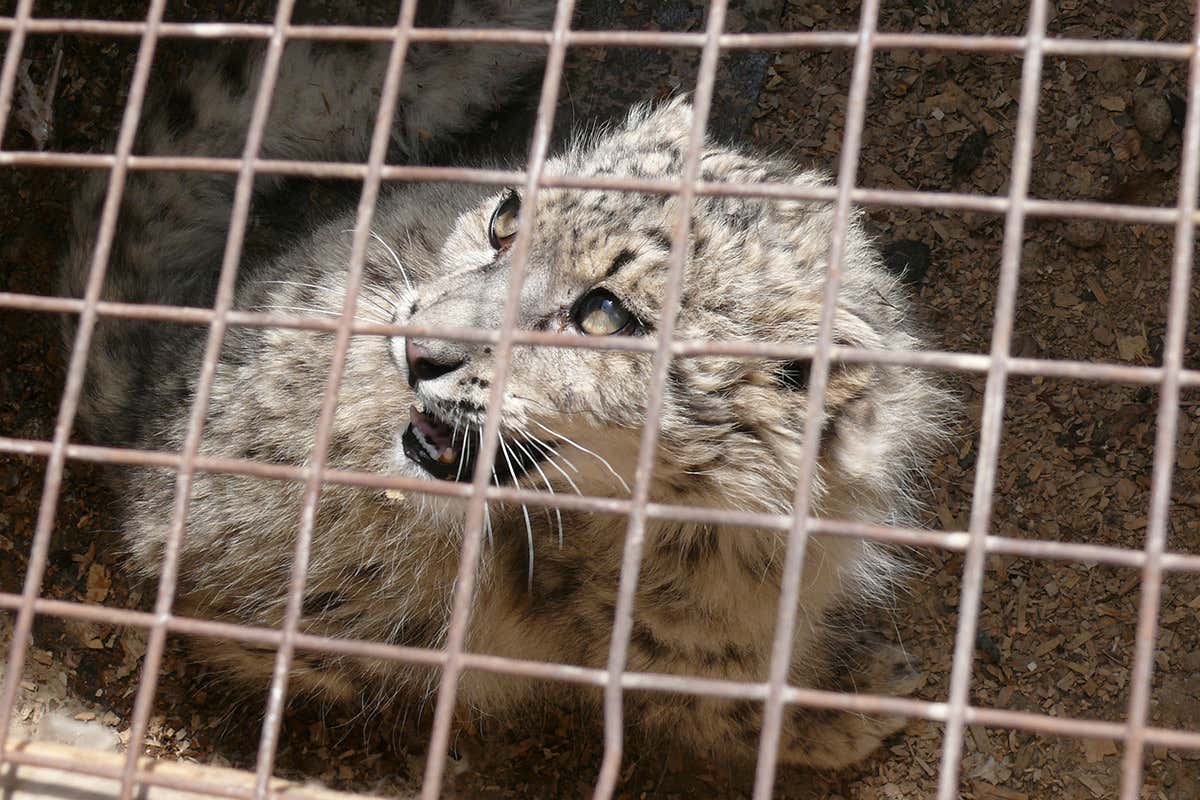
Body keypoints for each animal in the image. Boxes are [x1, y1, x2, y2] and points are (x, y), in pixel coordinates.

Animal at [60, 0, 955, 773]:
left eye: (605, 314)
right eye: (507, 219)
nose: (417, 347)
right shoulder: (668, 638)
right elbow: (722, 705)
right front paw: (863, 694)